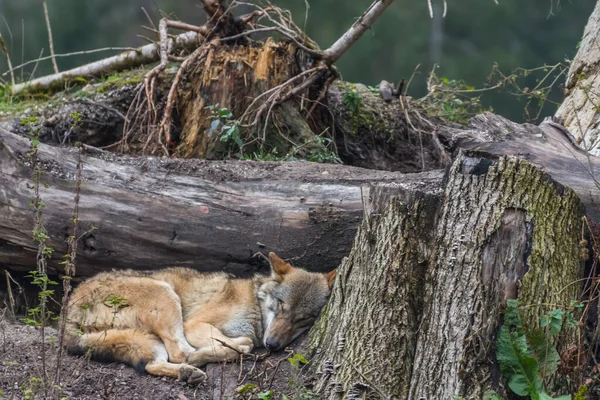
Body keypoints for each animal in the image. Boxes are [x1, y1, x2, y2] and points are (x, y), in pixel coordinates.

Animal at [65, 253, 338, 384]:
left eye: (304, 319)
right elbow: (241, 343)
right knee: (181, 353)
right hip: (166, 297)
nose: (272, 345)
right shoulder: (194, 324)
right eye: (281, 305)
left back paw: (188, 373)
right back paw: (196, 362)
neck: (255, 308)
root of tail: (71, 307)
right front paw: (241, 345)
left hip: (146, 338)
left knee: (153, 364)